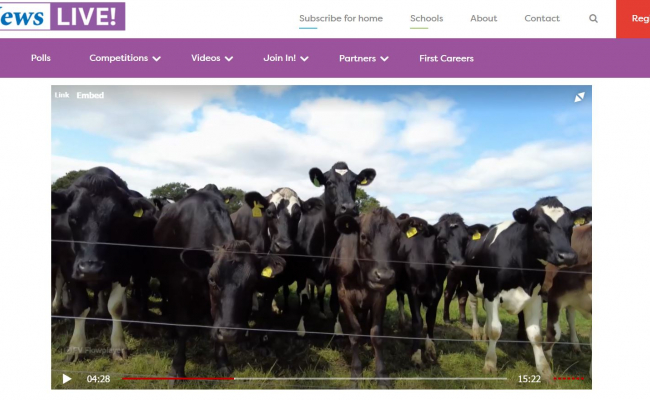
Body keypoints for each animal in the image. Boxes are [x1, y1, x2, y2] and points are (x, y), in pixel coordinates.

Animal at [51, 167, 157, 362]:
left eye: (117, 219)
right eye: (72, 217)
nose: (90, 269)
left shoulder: (124, 268)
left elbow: (115, 306)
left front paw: (118, 345)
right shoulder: (69, 267)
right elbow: (80, 306)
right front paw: (76, 347)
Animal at [294, 162, 376, 335]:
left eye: (354, 182)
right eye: (329, 182)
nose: (349, 208)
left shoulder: (335, 275)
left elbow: (335, 303)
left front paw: (337, 330)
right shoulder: (302, 272)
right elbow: (304, 302)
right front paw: (301, 329)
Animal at [329, 208, 419, 387]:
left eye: (397, 239)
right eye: (363, 237)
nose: (384, 276)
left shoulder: (379, 297)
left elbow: (376, 335)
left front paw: (382, 375)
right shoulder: (343, 296)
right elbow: (355, 332)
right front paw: (356, 372)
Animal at [459, 197, 591, 382]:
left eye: (570, 226)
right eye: (539, 226)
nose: (568, 256)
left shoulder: (535, 297)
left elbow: (535, 335)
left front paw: (545, 370)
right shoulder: (492, 292)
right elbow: (495, 330)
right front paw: (490, 364)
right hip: (472, 285)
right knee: (473, 305)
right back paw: (477, 332)